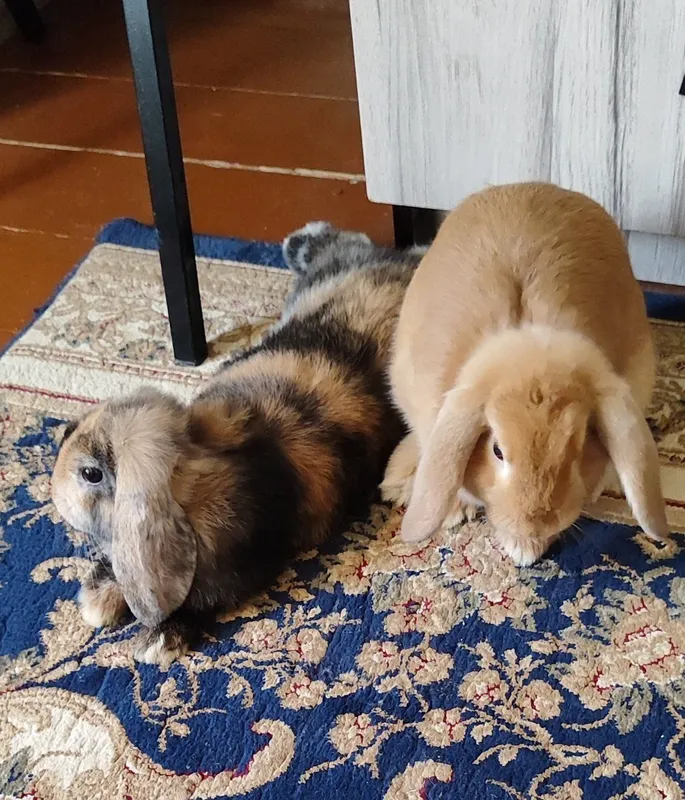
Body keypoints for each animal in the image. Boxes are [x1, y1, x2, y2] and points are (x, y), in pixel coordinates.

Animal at [51, 222, 419, 665]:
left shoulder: (241, 567)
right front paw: (99, 599)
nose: (54, 487)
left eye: (91, 474)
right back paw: (300, 239)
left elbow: (205, 599)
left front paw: (157, 641)